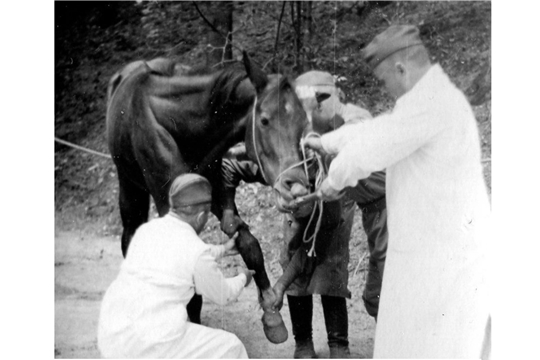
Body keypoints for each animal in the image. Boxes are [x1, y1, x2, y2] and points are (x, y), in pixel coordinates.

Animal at [105, 52, 310, 342]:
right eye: (265, 120)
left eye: (302, 123)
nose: (296, 186)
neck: (182, 126)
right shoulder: (169, 203)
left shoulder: (216, 194)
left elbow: (249, 243)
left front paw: (271, 312)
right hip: (130, 188)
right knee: (129, 235)